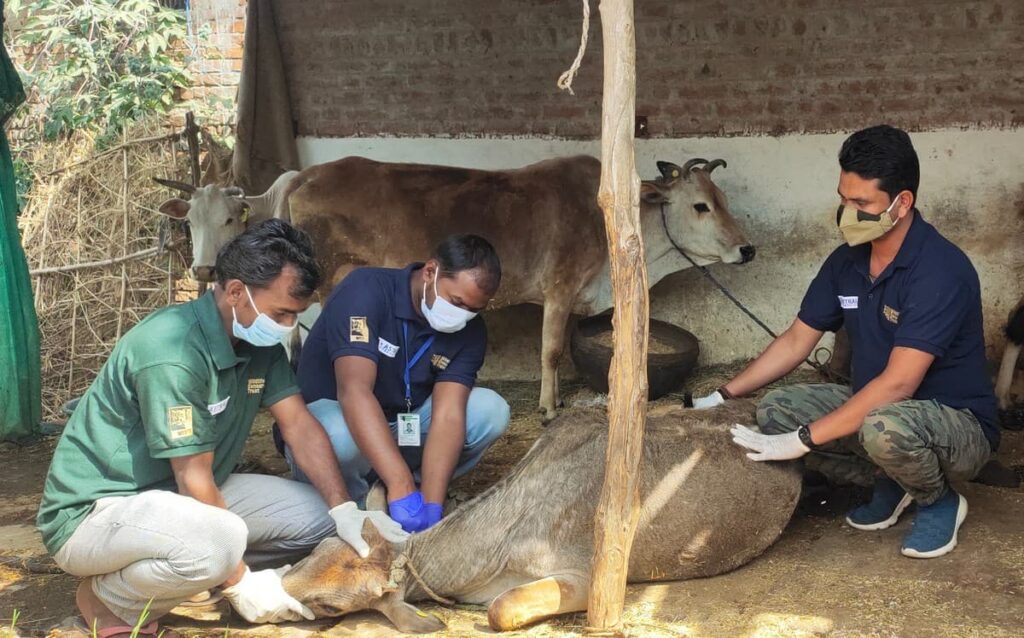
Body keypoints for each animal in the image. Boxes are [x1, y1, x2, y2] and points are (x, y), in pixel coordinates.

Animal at [157, 157, 753, 421]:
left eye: (724, 197)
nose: (747, 250)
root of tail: (306, 173)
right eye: (700, 204)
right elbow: (550, 351)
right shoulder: (559, 289)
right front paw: (548, 407)